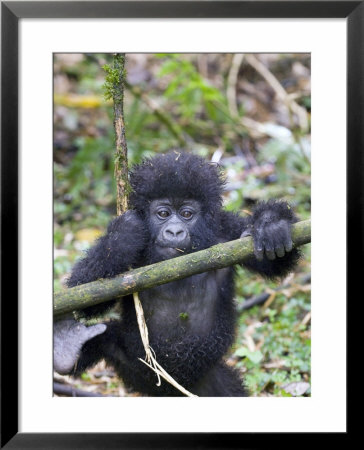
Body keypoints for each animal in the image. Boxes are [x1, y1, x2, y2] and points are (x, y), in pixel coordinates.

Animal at [54, 152, 298, 398]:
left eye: (187, 214)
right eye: (163, 213)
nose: (174, 231)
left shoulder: (227, 230)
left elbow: (272, 262)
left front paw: (270, 224)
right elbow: (86, 293)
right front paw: (122, 236)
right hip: (136, 365)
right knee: (107, 339)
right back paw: (67, 345)